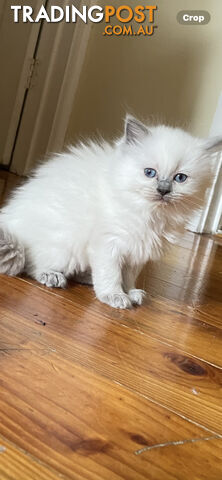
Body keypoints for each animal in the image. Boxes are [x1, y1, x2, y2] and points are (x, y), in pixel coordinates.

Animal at [0, 117, 222, 310]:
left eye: (180, 178)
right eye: (149, 173)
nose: (163, 190)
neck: (150, 214)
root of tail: (11, 221)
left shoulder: (137, 251)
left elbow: (128, 277)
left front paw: (130, 293)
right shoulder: (109, 245)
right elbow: (111, 274)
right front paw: (115, 296)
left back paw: (86, 279)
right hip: (63, 248)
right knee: (31, 264)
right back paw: (52, 276)